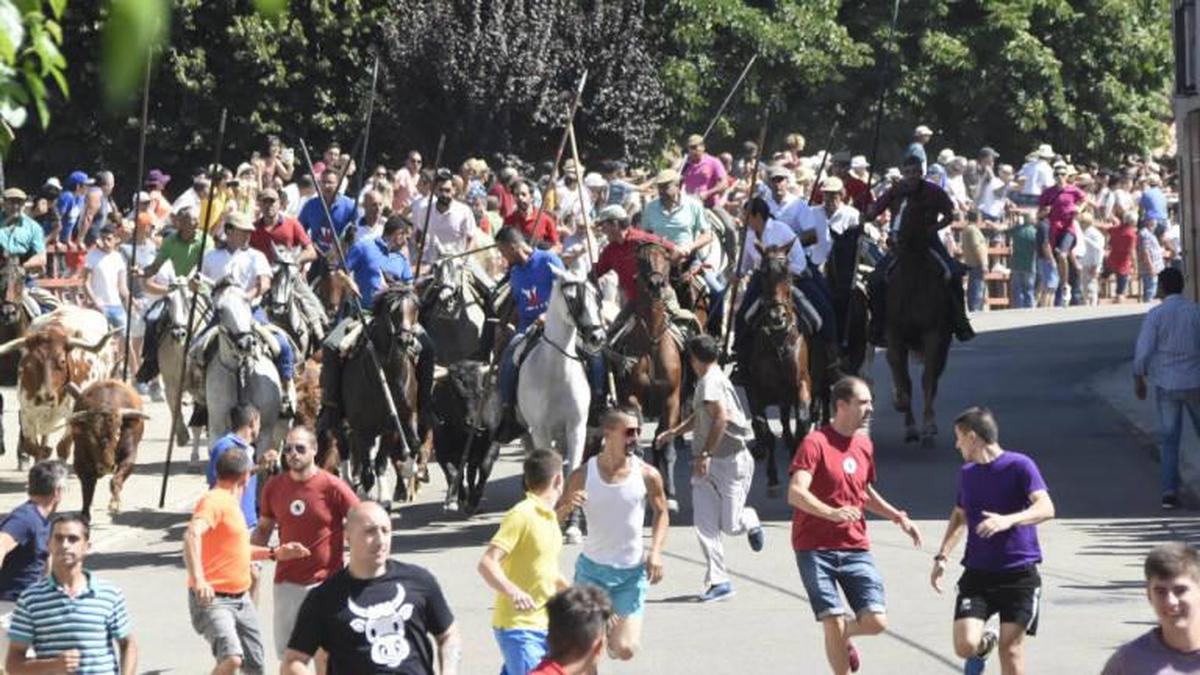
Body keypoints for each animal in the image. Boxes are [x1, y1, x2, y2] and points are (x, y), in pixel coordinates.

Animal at [68, 379, 148, 521]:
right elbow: (87, 487)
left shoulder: (130, 455)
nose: (105, 466)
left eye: (118, 433)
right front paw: (85, 513)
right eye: (90, 435)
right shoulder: (80, 460)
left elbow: (116, 479)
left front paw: (115, 504)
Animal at [518, 265, 609, 538]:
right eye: (572, 298)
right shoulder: (540, 431)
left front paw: (573, 524)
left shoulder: (576, 428)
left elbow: (573, 472)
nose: (597, 337)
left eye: (596, 297)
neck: (556, 371)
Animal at [619, 241, 686, 504]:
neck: (652, 342)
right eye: (641, 260)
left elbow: (666, 445)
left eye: (666, 259)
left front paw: (671, 495)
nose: (656, 284)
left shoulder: (672, 398)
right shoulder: (631, 395)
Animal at [744, 242, 820, 494]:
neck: (777, 339)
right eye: (762, 273)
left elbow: (803, 421)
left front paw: (798, 452)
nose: (778, 317)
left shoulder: (802, 382)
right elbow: (764, 429)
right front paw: (772, 476)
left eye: (788, 274)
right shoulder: (754, 390)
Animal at [888, 228, 950, 444]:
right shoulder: (895, 335)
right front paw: (909, 423)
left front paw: (928, 426)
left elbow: (928, 379)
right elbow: (904, 379)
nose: (892, 240)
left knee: (934, 377)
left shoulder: (933, 335)